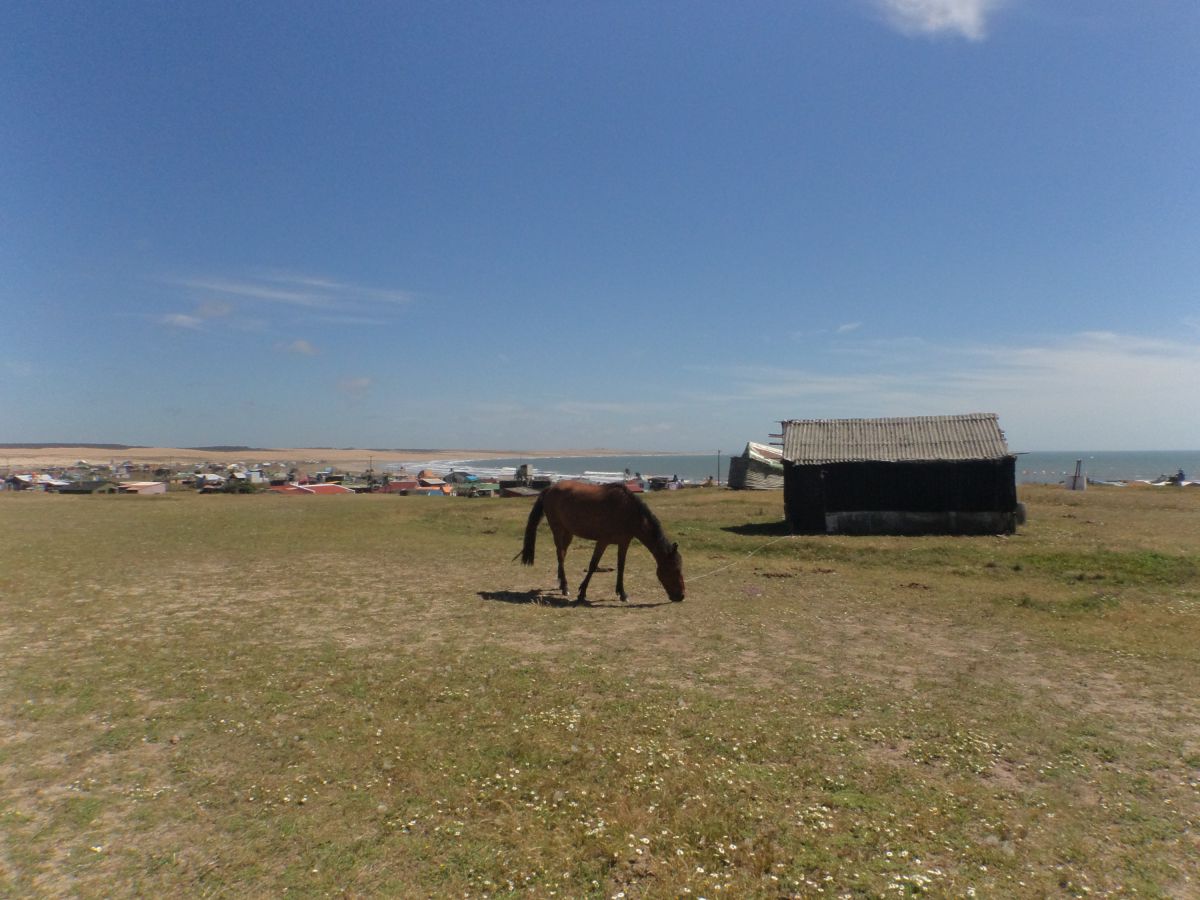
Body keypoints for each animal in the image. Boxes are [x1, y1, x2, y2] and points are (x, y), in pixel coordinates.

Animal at [519, 480, 685, 603]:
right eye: (674, 570)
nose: (681, 596)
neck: (627, 511)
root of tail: (549, 489)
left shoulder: (624, 543)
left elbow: (621, 567)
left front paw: (622, 593)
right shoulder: (603, 541)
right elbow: (593, 565)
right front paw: (582, 593)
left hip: (568, 532)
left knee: (562, 554)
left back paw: (561, 584)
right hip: (558, 529)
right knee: (560, 555)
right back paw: (565, 587)